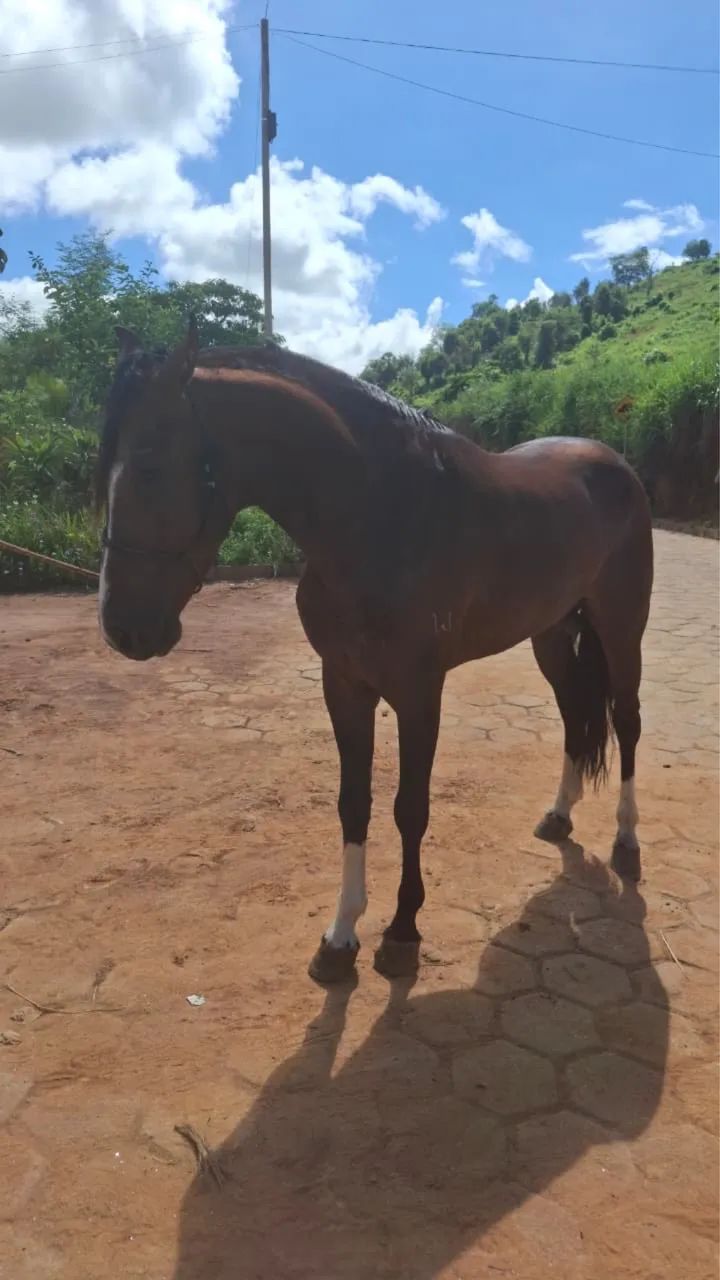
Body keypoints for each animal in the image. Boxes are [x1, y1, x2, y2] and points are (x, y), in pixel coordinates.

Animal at [97, 319, 653, 982]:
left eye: (151, 466)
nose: (122, 628)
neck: (378, 516)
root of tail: (614, 463)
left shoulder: (418, 693)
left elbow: (409, 808)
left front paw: (402, 932)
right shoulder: (345, 684)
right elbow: (353, 804)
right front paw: (340, 938)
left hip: (621, 628)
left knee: (626, 721)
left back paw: (627, 842)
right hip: (551, 635)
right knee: (574, 715)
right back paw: (559, 815)